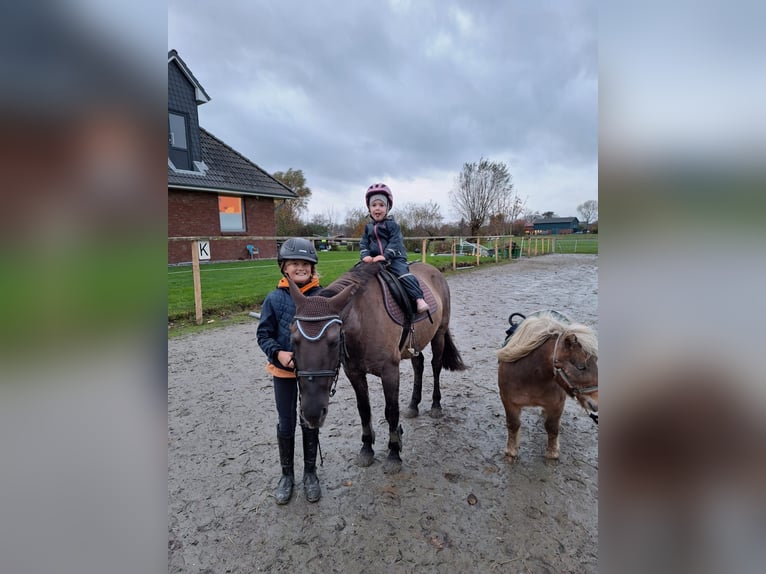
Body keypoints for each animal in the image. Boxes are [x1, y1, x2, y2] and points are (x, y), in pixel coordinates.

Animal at [498, 312, 600, 462]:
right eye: (581, 366)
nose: (597, 403)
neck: (531, 377)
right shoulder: (508, 401)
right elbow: (513, 424)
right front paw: (511, 452)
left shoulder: (556, 404)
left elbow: (552, 427)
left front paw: (552, 453)